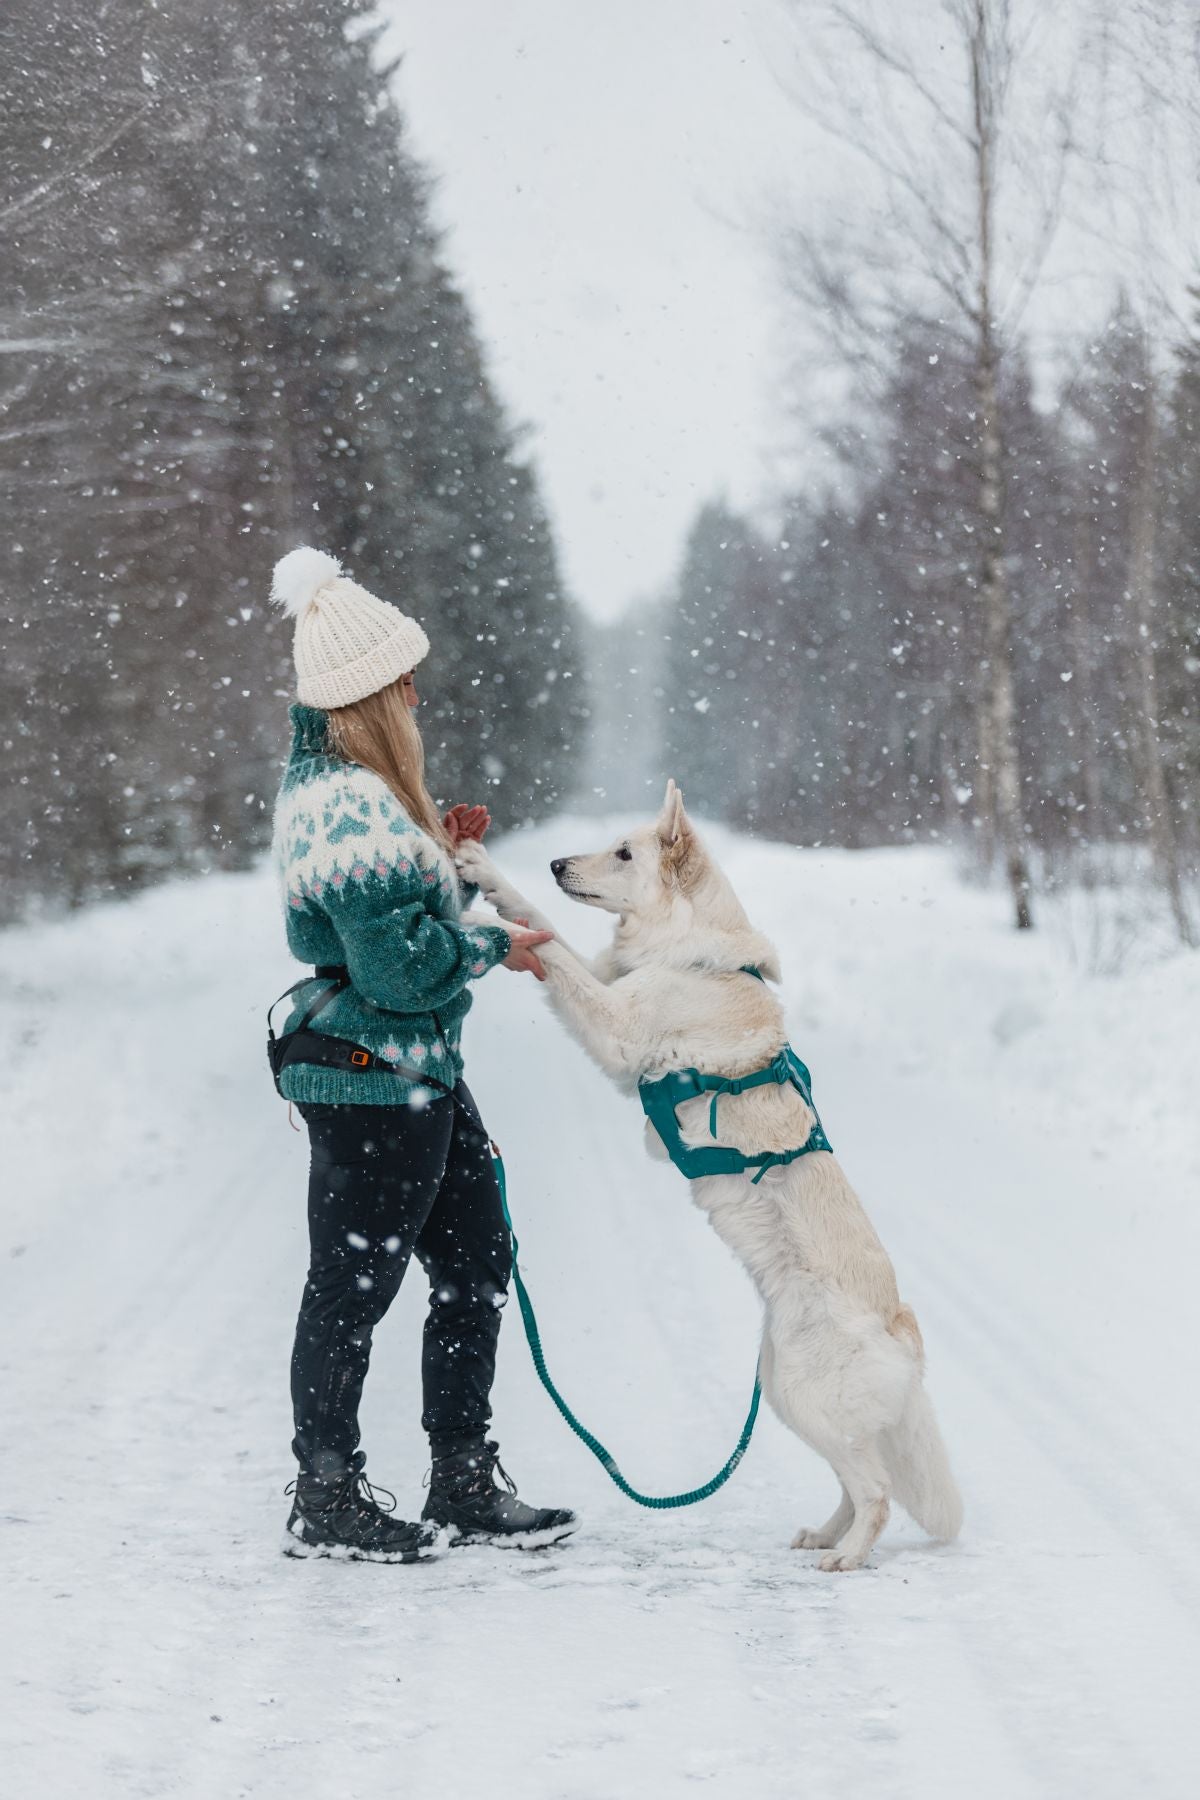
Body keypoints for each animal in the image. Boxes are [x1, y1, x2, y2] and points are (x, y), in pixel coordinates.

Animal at [455, 781, 964, 1569]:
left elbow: (558, 959)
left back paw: (847, 1556)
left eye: (624, 853)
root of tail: (904, 1334)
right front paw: (483, 872)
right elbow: (543, 922)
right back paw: (826, 1535)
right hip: (787, 1396)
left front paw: (478, 920)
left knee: (877, 1491)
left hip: (806, 1396)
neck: (692, 954)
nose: (557, 862)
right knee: (855, 1480)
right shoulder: (611, 983)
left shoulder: (616, 1027)